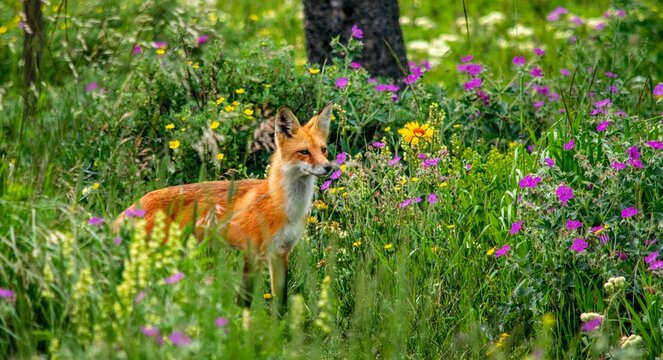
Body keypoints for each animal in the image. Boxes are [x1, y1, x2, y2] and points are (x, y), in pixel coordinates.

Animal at [115, 102, 338, 312]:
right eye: (304, 152)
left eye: (323, 149)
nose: (328, 167)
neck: (283, 206)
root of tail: (137, 203)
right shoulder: (252, 254)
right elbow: (244, 303)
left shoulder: (281, 253)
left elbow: (281, 304)